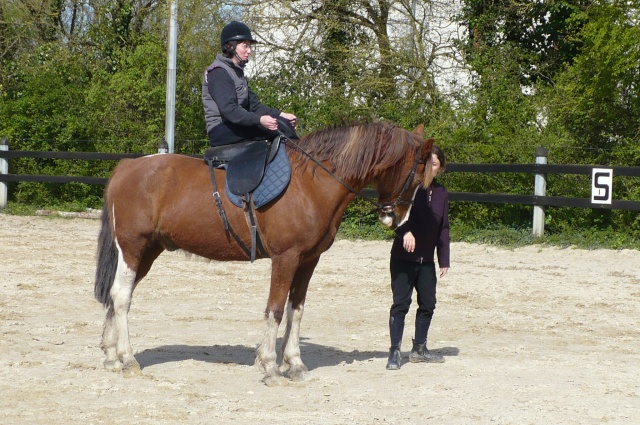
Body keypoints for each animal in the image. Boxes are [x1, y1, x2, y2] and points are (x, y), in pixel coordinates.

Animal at [94, 120, 436, 384]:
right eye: (417, 176)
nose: (396, 218)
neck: (311, 183)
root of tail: (127, 167)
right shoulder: (286, 258)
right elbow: (275, 309)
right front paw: (270, 365)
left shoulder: (309, 260)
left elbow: (296, 310)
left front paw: (295, 364)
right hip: (133, 247)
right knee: (122, 297)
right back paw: (128, 359)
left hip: (148, 251)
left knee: (115, 294)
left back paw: (111, 356)